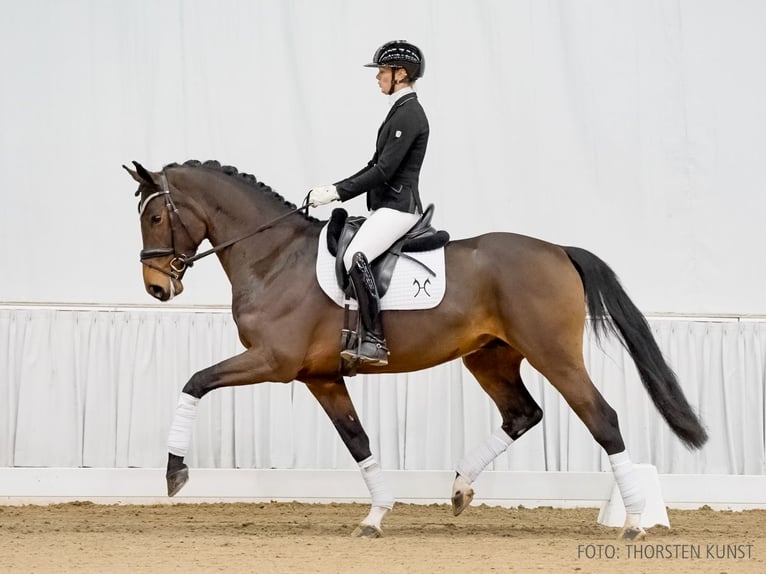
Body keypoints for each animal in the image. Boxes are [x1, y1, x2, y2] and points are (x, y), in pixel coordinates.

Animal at [126, 161, 708, 540]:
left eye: (154, 218)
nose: (156, 287)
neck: (273, 256)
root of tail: (559, 250)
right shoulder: (320, 377)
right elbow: (358, 440)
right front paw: (375, 516)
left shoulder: (274, 362)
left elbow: (195, 382)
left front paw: (175, 473)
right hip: (489, 356)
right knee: (523, 414)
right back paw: (460, 489)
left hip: (554, 355)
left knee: (601, 417)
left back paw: (634, 523)